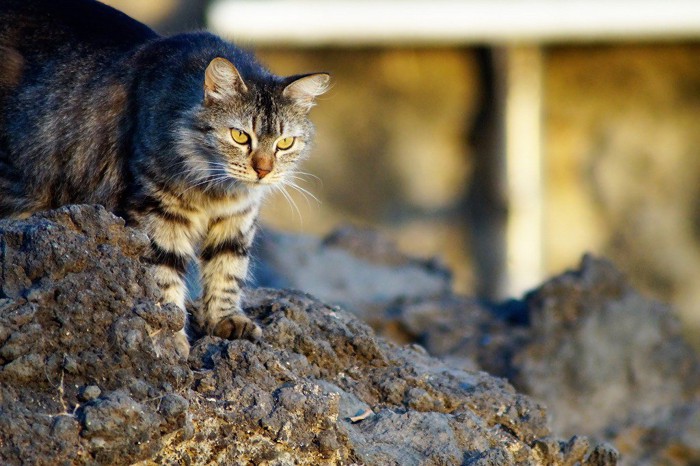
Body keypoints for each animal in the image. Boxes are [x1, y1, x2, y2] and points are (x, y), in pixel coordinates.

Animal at [0, 0, 330, 354]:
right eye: (241, 136)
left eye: (285, 143)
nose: (263, 170)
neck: (215, 190)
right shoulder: (156, 214)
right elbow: (163, 278)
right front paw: (169, 336)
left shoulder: (237, 219)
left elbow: (228, 270)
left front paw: (225, 319)